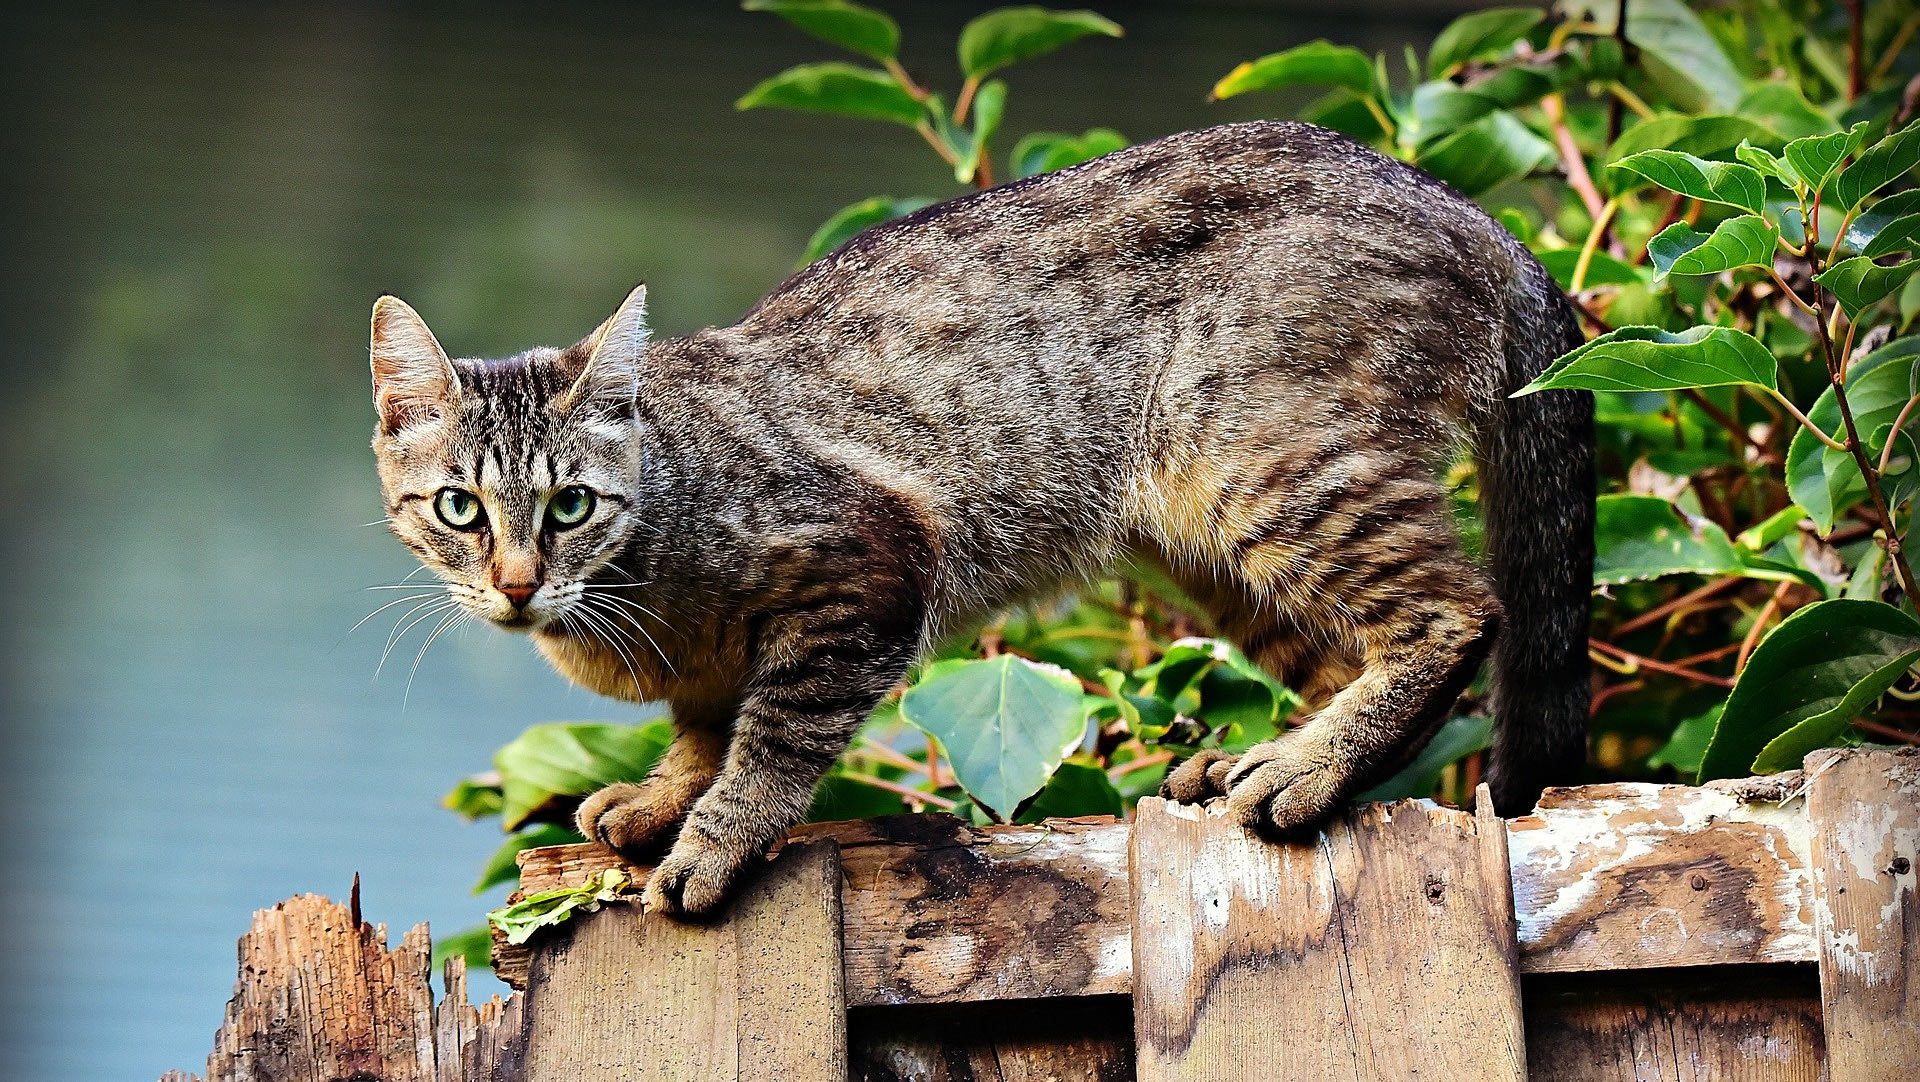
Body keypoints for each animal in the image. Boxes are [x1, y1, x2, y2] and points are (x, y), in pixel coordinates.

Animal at [370, 120, 1589, 913]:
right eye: (459, 508)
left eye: (570, 504)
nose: (517, 582)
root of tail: (1472, 211)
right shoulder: (714, 667)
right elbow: (704, 728)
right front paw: (665, 796)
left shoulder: (869, 569)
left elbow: (772, 737)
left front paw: (714, 836)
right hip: (1207, 542)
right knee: (1345, 651)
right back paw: (1267, 755)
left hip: (1268, 464)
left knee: (1459, 613)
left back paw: (1308, 767)